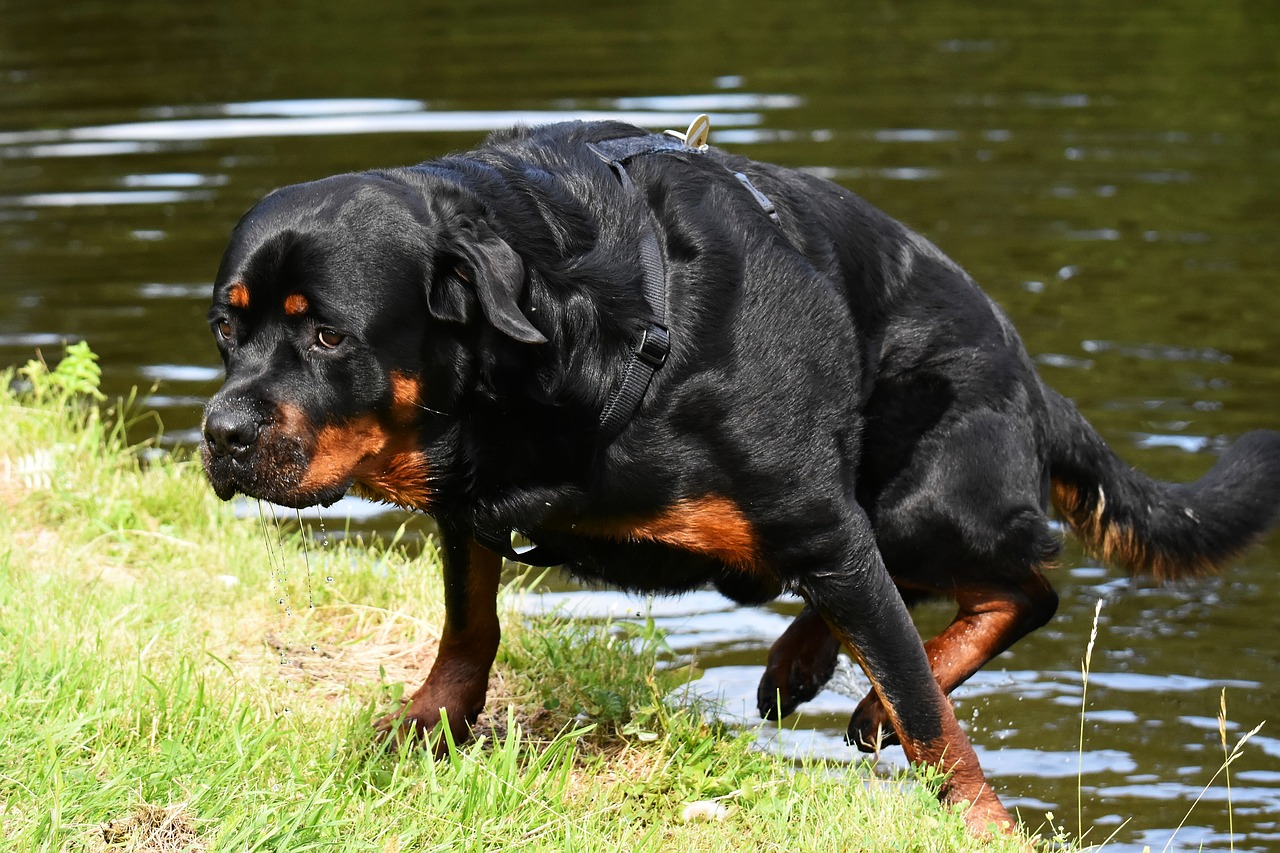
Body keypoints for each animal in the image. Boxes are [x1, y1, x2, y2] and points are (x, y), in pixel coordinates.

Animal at [202, 119, 1280, 829]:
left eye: (329, 334)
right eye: (226, 326)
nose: (220, 432)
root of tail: (1035, 383)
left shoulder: (812, 513)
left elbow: (933, 718)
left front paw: (981, 821)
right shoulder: (467, 493)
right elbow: (471, 624)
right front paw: (431, 722)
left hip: (929, 495)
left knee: (1018, 583)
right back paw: (803, 661)